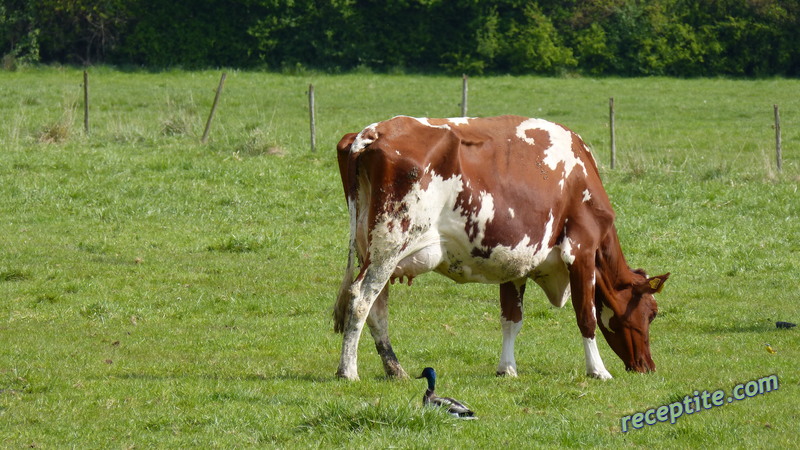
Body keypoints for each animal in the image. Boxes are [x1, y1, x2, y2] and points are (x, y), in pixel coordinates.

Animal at [332, 115, 668, 380]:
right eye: (651, 313)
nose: (648, 367)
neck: (581, 177)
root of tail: (372, 132)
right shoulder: (581, 251)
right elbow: (586, 317)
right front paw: (598, 370)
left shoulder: (515, 260)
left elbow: (511, 319)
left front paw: (507, 368)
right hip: (390, 245)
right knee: (361, 298)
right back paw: (348, 370)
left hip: (369, 249)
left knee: (377, 307)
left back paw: (394, 369)